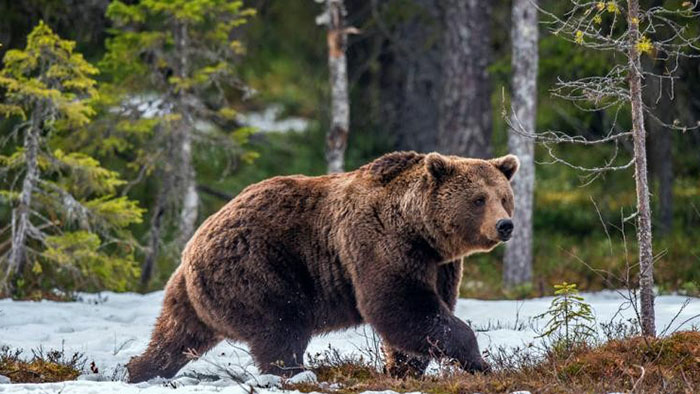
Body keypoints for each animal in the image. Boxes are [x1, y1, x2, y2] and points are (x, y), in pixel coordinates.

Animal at [127, 151, 520, 382]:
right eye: (478, 199)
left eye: (504, 197)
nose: (505, 225)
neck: (420, 231)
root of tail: (195, 240)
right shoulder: (381, 245)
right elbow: (402, 306)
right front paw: (480, 361)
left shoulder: (439, 265)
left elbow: (424, 313)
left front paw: (403, 368)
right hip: (259, 268)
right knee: (281, 326)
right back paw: (296, 374)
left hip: (191, 292)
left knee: (176, 334)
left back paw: (139, 369)